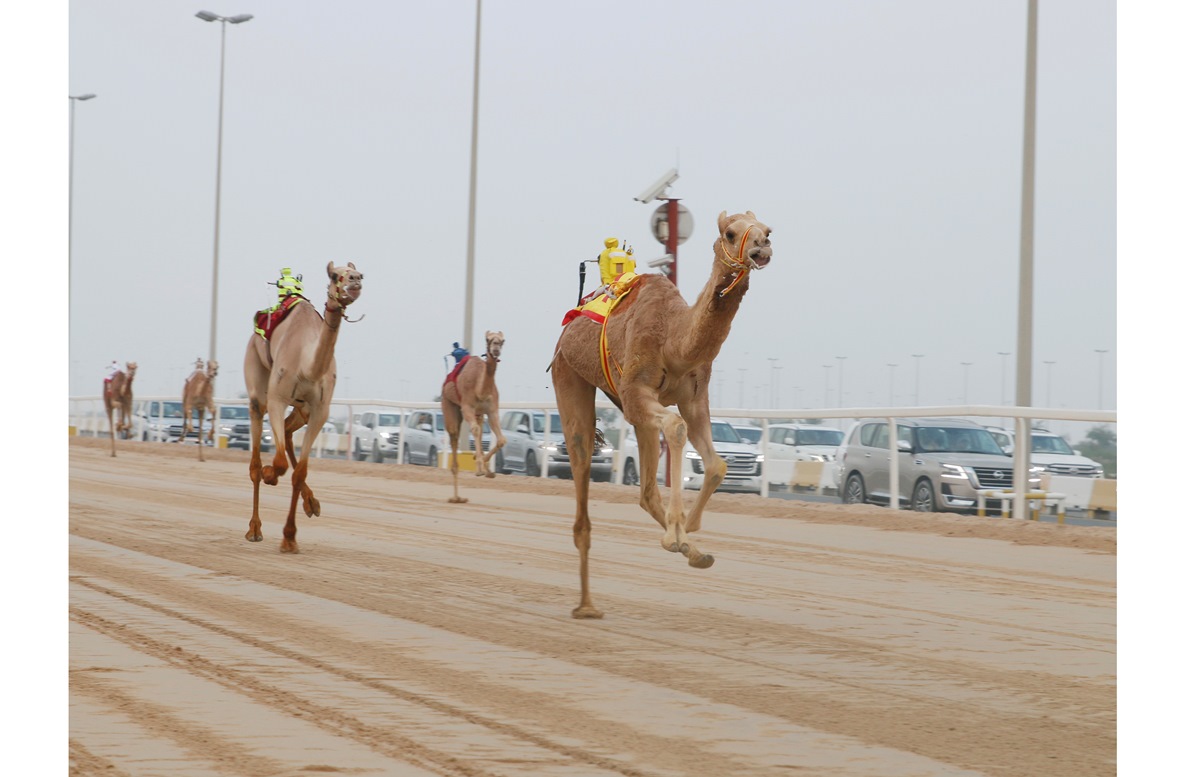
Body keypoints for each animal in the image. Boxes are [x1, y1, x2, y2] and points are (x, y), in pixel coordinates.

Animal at [238, 262, 360, 551]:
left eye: (358, 272)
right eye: (335, 275)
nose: (355, 280)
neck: (308, 366)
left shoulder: (320, 410)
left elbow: (299, 473)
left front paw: (290, 538)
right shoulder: (277, 399)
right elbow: (279, 463)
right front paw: (270, 474)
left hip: (301, 409)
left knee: (289, 433)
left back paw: (312, 504)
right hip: (257, 385)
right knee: (255, 461)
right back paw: (254, 529)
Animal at [441, 328, 506, 503]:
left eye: (502, 340)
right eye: (488, 339)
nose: (495, 349)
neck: (480, 389)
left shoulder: (492, 410)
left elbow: (502, 440)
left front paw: (486, 467)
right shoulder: (467, 407)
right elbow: (476, 431)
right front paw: (480, 467)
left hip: (479, 413)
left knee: (479, 429)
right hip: (449, 405)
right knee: (455, 435)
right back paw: (456, 497)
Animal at [549, 207, 772, 618]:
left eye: (768, 229)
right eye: (731, 233)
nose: (762, 248)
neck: (674, 339)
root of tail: (569, 326)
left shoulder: (694, 398)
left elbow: (716, 463)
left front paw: (689, 531)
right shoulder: (635, 392)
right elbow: (677, 427)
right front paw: (677, 532)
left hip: (626, 410)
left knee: (647, 489)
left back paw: (691, 550)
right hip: (568, 374)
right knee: (582, 461)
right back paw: (586, 606)